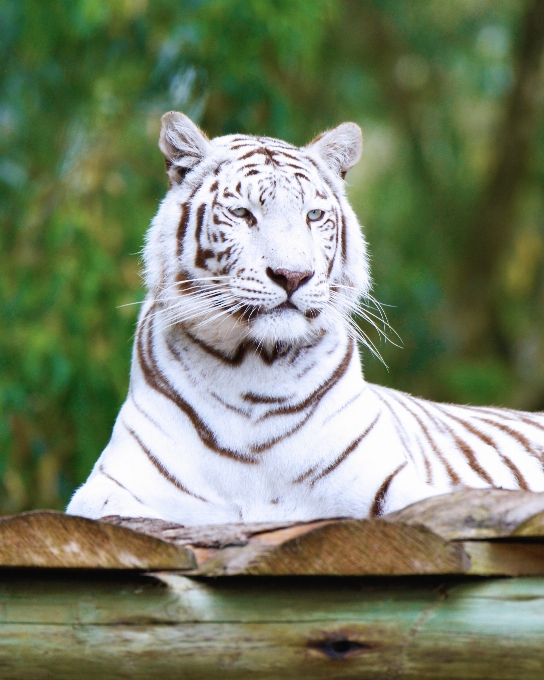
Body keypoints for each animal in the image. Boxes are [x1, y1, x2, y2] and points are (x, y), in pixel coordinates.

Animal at [67, 113, 544, 524]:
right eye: (242, 213)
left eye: (313, 215)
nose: (292, 276)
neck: (251, 371)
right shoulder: (108, 488)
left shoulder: (392, 484)